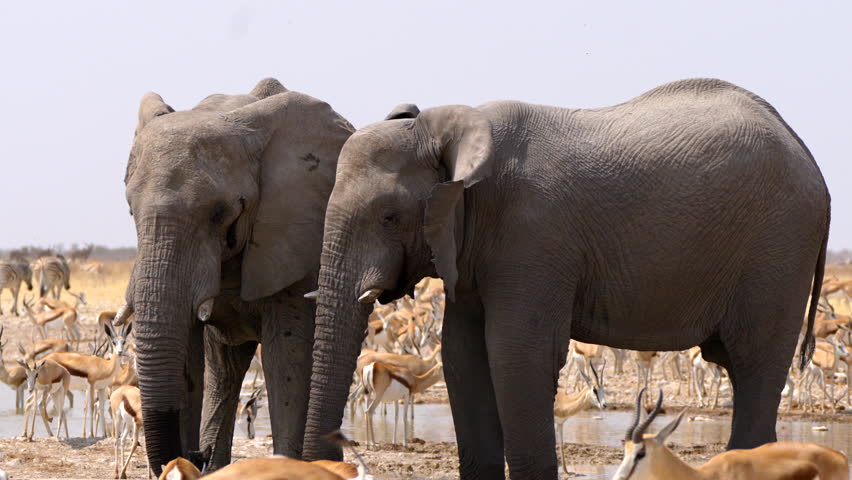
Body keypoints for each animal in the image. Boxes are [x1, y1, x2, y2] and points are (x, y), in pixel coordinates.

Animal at [122, 77, 354, 475]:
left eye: (220, 213)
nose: (196, 454)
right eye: (130, 209)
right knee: (225, 369)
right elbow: (187, 356)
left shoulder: (297, 233)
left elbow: (286, 358)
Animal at [301, 78, 830, 479]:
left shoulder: (533, 236)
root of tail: (810, 157)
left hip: (779, 250)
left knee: (755, 367)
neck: (447, 127)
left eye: (389, 217)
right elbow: (463, 357)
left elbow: (517, 355)